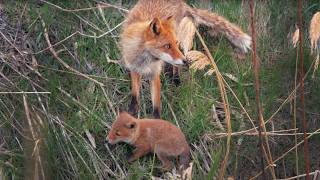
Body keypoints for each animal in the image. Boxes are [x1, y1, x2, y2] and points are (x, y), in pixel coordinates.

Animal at [121, 0, 251, 118]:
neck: (145, 61)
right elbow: (134, 93)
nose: (185, 61)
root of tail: (181, 2)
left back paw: (176, 79)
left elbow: (156, 104)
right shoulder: (134, 67)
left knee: (176, 66)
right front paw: (132, 110)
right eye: (167, 46)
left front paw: (157, 120)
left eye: (173, 44)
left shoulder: (155, 73)